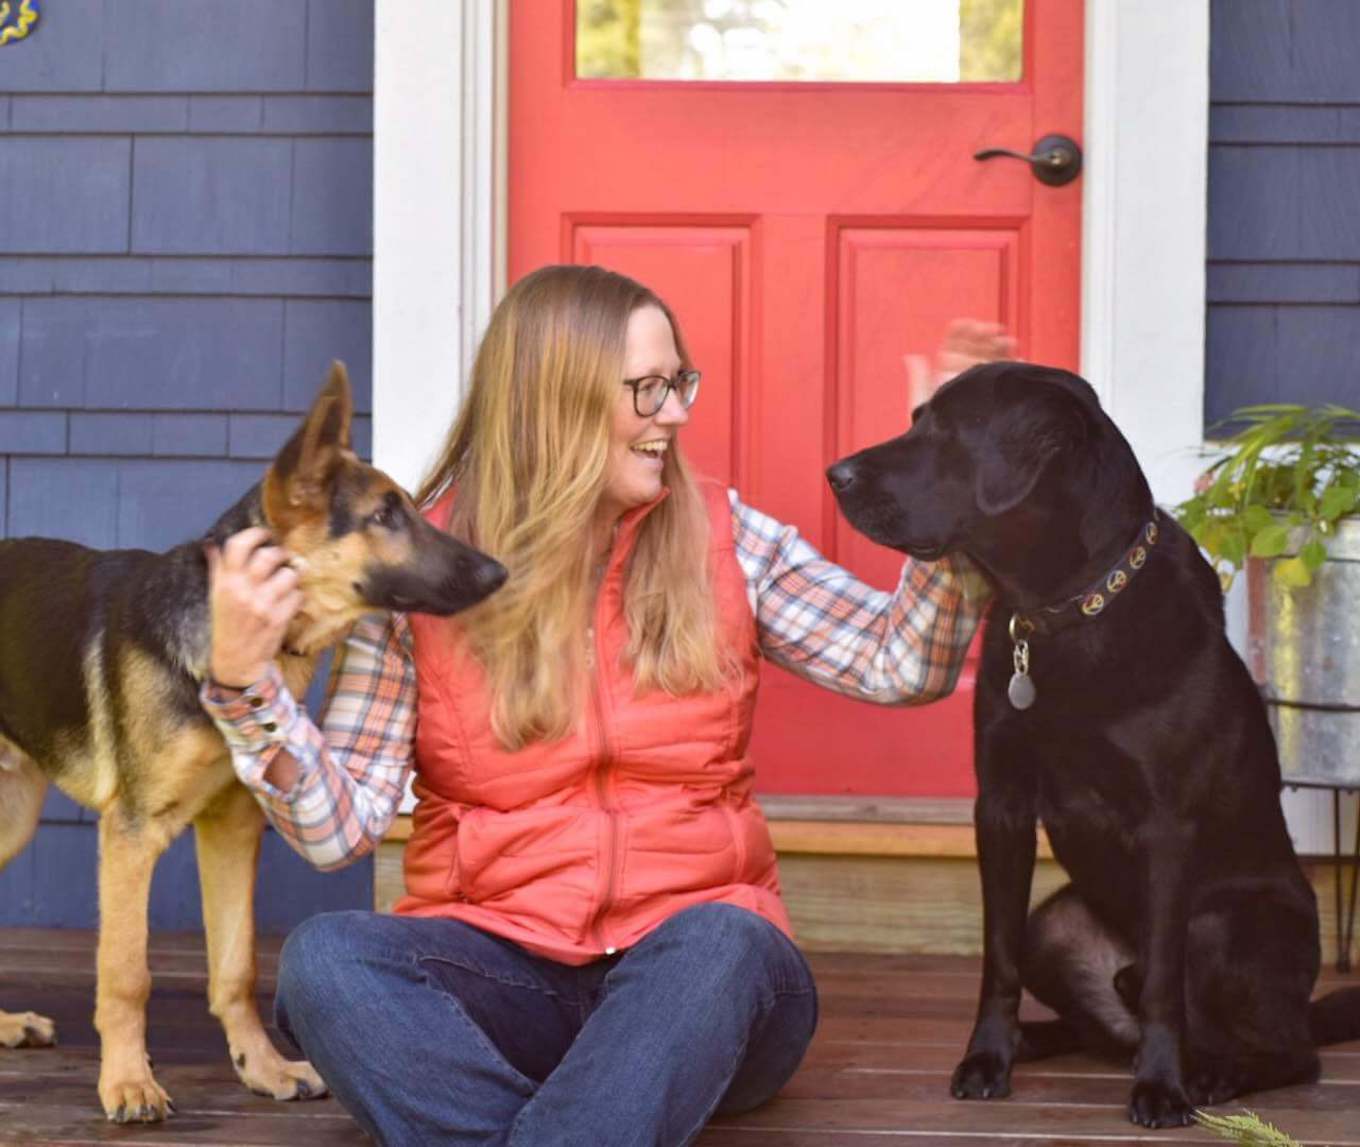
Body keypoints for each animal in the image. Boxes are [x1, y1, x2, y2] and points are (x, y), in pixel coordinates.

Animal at [0, 364, 508, 1121]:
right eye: (384, 515)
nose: (498, 573)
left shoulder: (234, 824)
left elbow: (236, 966)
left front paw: (262, 1068)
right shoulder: (131, 835)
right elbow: (126, 971)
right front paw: (127, 1081)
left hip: (12, 813)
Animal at [821, 364, 1360, 1132]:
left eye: (948, 432)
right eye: (916, 419)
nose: (835, 474)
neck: (1062, 610)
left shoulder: (1168, 825)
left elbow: (1163, 980)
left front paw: (1161, 1088)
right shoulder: (1002, 806)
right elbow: (997, 959)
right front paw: (987, 1058)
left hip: (1229, 923)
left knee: (1289, 1049)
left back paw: (1211, 1073)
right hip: (1055, 923)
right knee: (1094, 1019)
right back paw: (1039, 1038)